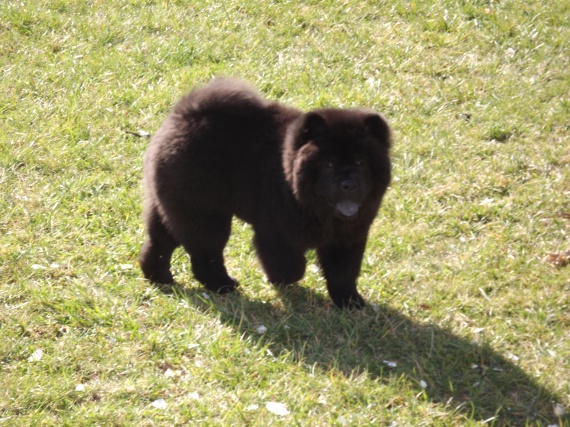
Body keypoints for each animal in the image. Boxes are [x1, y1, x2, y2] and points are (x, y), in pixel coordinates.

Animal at [139, 79, 388, 308]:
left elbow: (343, 272)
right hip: (205, 212)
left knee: (160, 242)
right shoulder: (276, 230)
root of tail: (182, 115)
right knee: (206, 252)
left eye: (361, 162)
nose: (348, 184)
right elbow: (290, 266)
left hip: (170, 207)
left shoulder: (349, 236)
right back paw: (222, 284)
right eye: (328, 164)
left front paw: (350, 301)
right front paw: (280, 280)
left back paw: (159, 277)